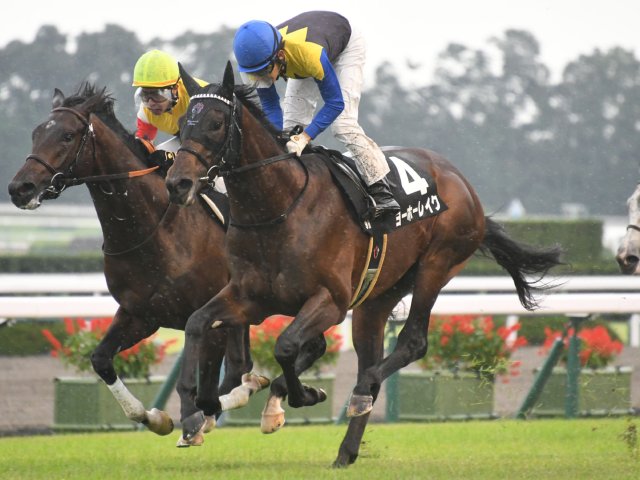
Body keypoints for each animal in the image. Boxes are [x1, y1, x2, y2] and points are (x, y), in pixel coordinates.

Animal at [8, 83, 268, 446]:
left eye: (68, 135)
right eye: (35, 134)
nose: (20, 188)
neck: (154, 230)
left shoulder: (208, 314)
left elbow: (206, 384)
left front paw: (194, 421)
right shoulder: (141, 314)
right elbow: (101, 360)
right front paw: (155, 418)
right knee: (238, 367)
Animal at [164, 63, 560, 464]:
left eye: (216, 122)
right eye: (182, 123)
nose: (177, 183)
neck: (280, 207)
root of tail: (462, 183)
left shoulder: (332, 301)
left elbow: (286, 346)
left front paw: (297, 398)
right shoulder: (250, 297)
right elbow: (198, 323)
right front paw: (195, 413)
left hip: (437, 264)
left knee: (410, 344)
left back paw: (359, 394)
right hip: (376, 298)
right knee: (370, 358)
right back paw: (346, 450)